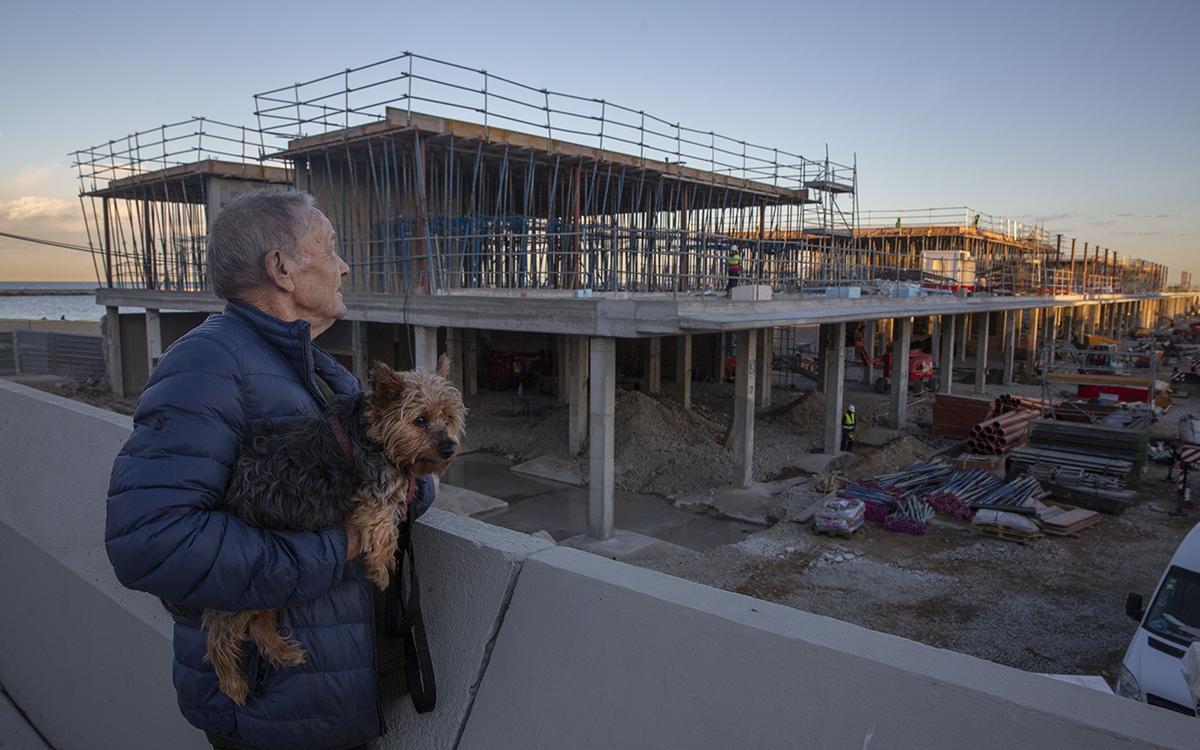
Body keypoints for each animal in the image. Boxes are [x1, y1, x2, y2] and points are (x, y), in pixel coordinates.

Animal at [201, 355, 463, 700]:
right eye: (420, 420)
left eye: (448, 418)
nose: (448, 448)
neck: (374, 436)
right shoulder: (374, 495)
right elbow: (385, 529)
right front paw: (381, 569)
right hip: (241, 583)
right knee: (220, 633)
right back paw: (232, 683)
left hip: (271, 582)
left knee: (260, 621)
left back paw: (282, 652)